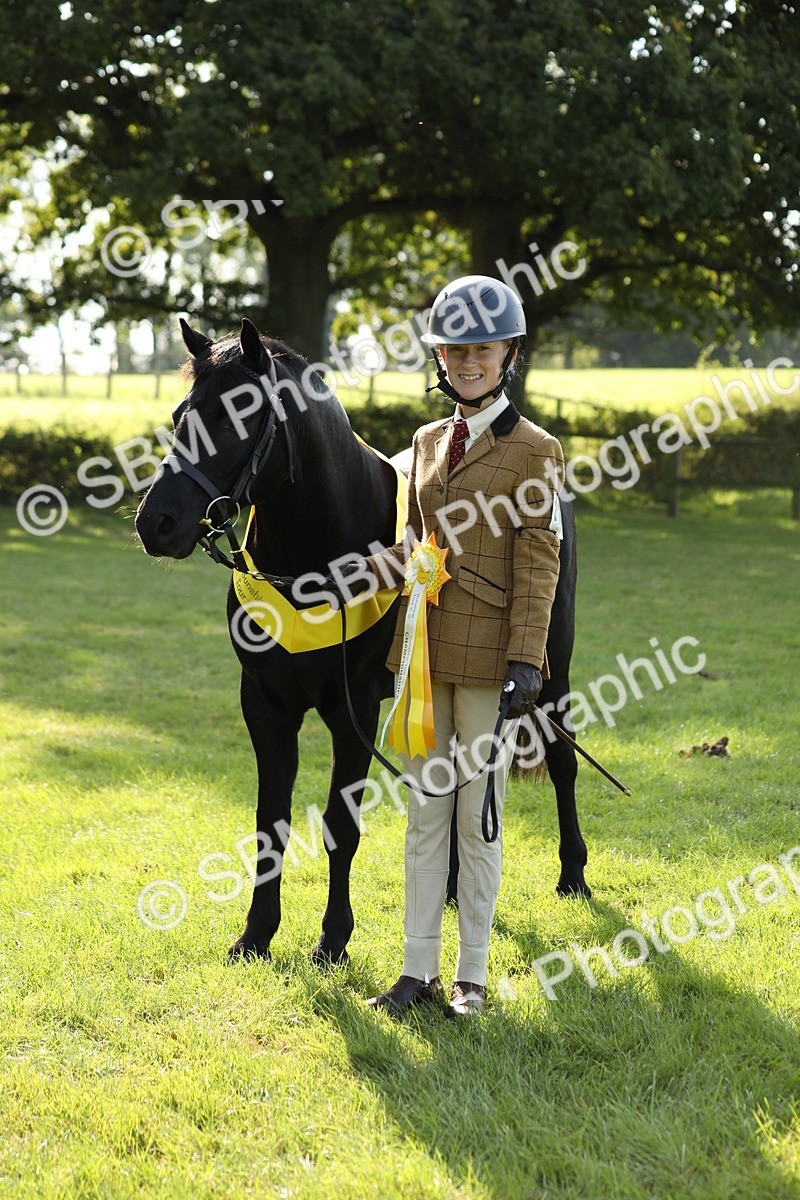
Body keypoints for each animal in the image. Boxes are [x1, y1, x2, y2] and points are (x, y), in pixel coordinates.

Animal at [135, 317, 590, 966]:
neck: (315, 564)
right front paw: (256, 933)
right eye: (181, 415)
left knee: (561, 759)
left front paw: (332, 937)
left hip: (549, 672)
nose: (157, 523)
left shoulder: (352, 713)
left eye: (234, 419)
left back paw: (573, 875)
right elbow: (270, 820)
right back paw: (452, 889)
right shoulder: (265, 706)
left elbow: (340, 825)